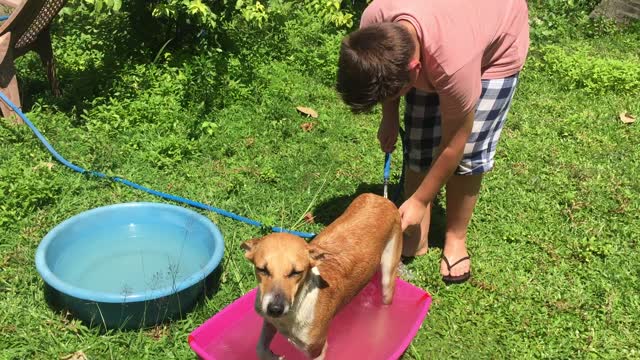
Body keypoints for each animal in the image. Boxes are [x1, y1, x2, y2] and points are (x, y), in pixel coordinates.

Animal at [242, 194, 402, 360]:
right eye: (262, 269)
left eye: (296, 272)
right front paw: (273, 356)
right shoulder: (269, 321)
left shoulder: (317, 350)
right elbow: (260, 348)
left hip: (388, 276)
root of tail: (381, 198)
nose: (275, 309)